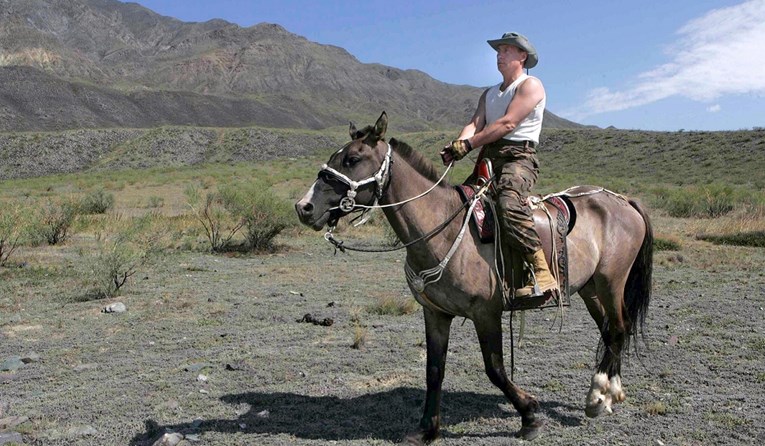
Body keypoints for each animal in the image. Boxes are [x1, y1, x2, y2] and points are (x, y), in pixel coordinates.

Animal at [292, 112, 652, 442]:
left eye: (352, 159)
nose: (304, 207)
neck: (444, 228)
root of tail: (622, 200)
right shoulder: (435, 313)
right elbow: (434, 370)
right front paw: (426, 429)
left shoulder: (485, 312)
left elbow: (495, 368)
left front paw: (530, 415)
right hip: (590, 289)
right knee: (611, 330)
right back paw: (608, 395)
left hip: (611, 282)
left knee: (618, 328)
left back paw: (597, 396)